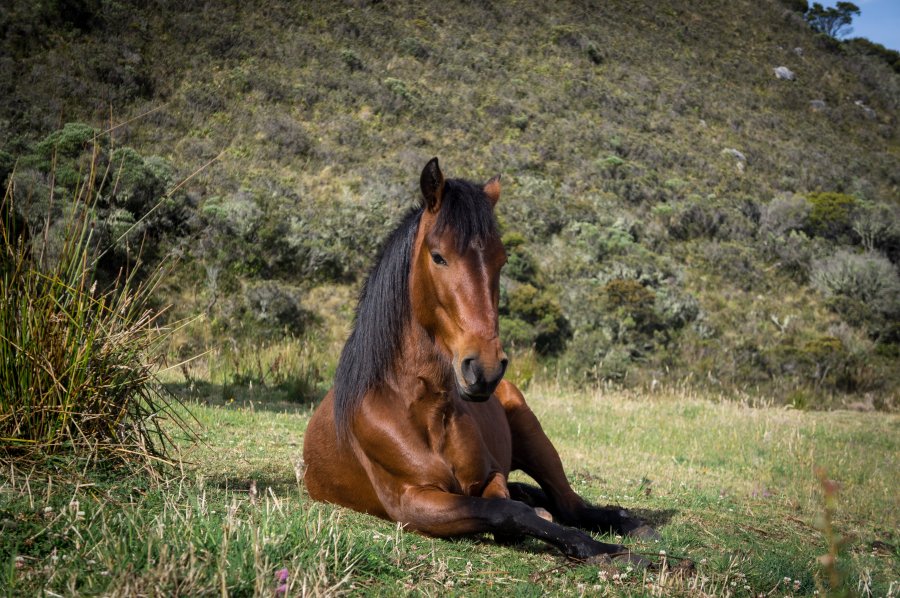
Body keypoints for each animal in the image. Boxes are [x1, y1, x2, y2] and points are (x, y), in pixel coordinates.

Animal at [306, 158, 656, 564]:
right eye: (438, 256)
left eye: (500, 260)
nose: (484, 369)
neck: (422, 409)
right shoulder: (412, 503)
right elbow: (508, 513)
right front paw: (605, 551)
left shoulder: (490, 477)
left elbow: (509, 507)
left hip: (535, 437)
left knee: (570, 503)